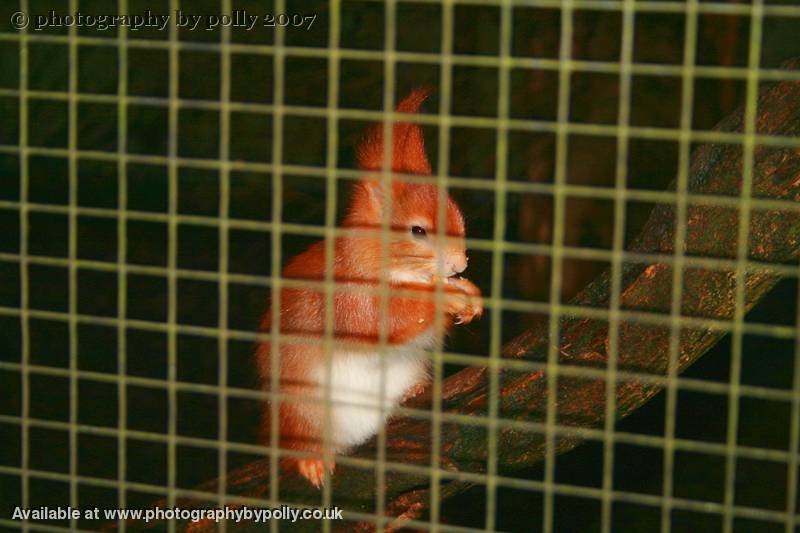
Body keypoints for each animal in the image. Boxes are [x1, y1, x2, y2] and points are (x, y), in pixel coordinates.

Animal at [256, 87, 482, 486]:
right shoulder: (347, 295)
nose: (460, 265)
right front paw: (447, 296)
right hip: (300, 408)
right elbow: (376, 322)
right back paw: (310, 459)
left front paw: (470, 294)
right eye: (417, 230)